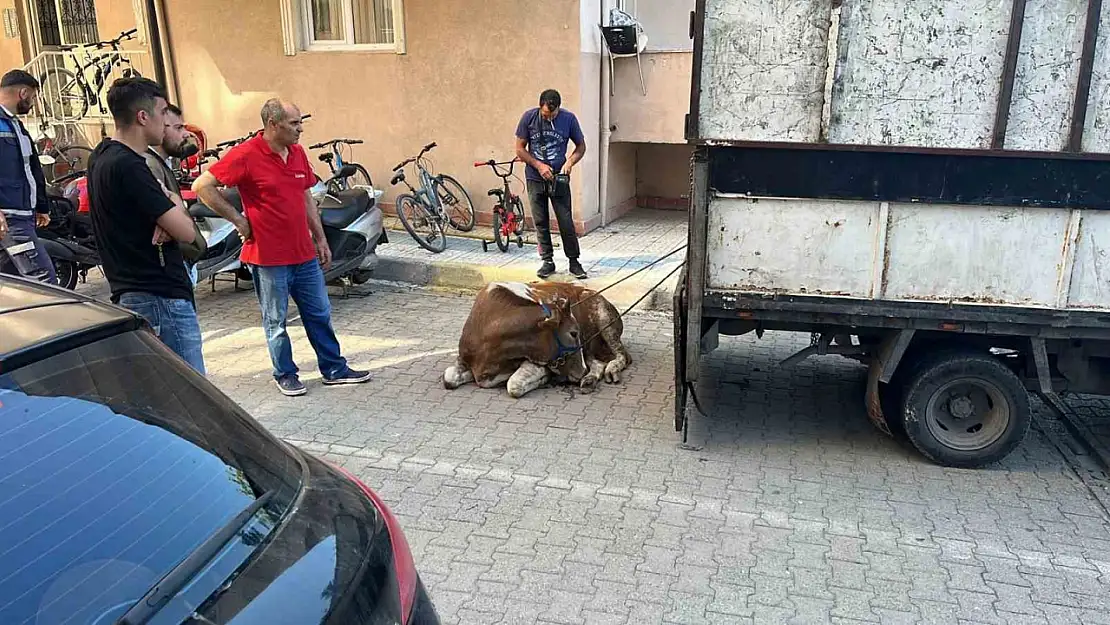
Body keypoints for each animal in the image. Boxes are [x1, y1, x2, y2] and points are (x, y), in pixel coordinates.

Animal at [441, 281, 634, 399]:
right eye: (573, 333)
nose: (581, 370)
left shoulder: (539, 363)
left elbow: (514, 385)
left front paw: (544, 379)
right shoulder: (464, 358)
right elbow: (448, 378)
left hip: (605, 320)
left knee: (622, 356)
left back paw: (607, 370)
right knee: (597, 363)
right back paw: (588, 379)